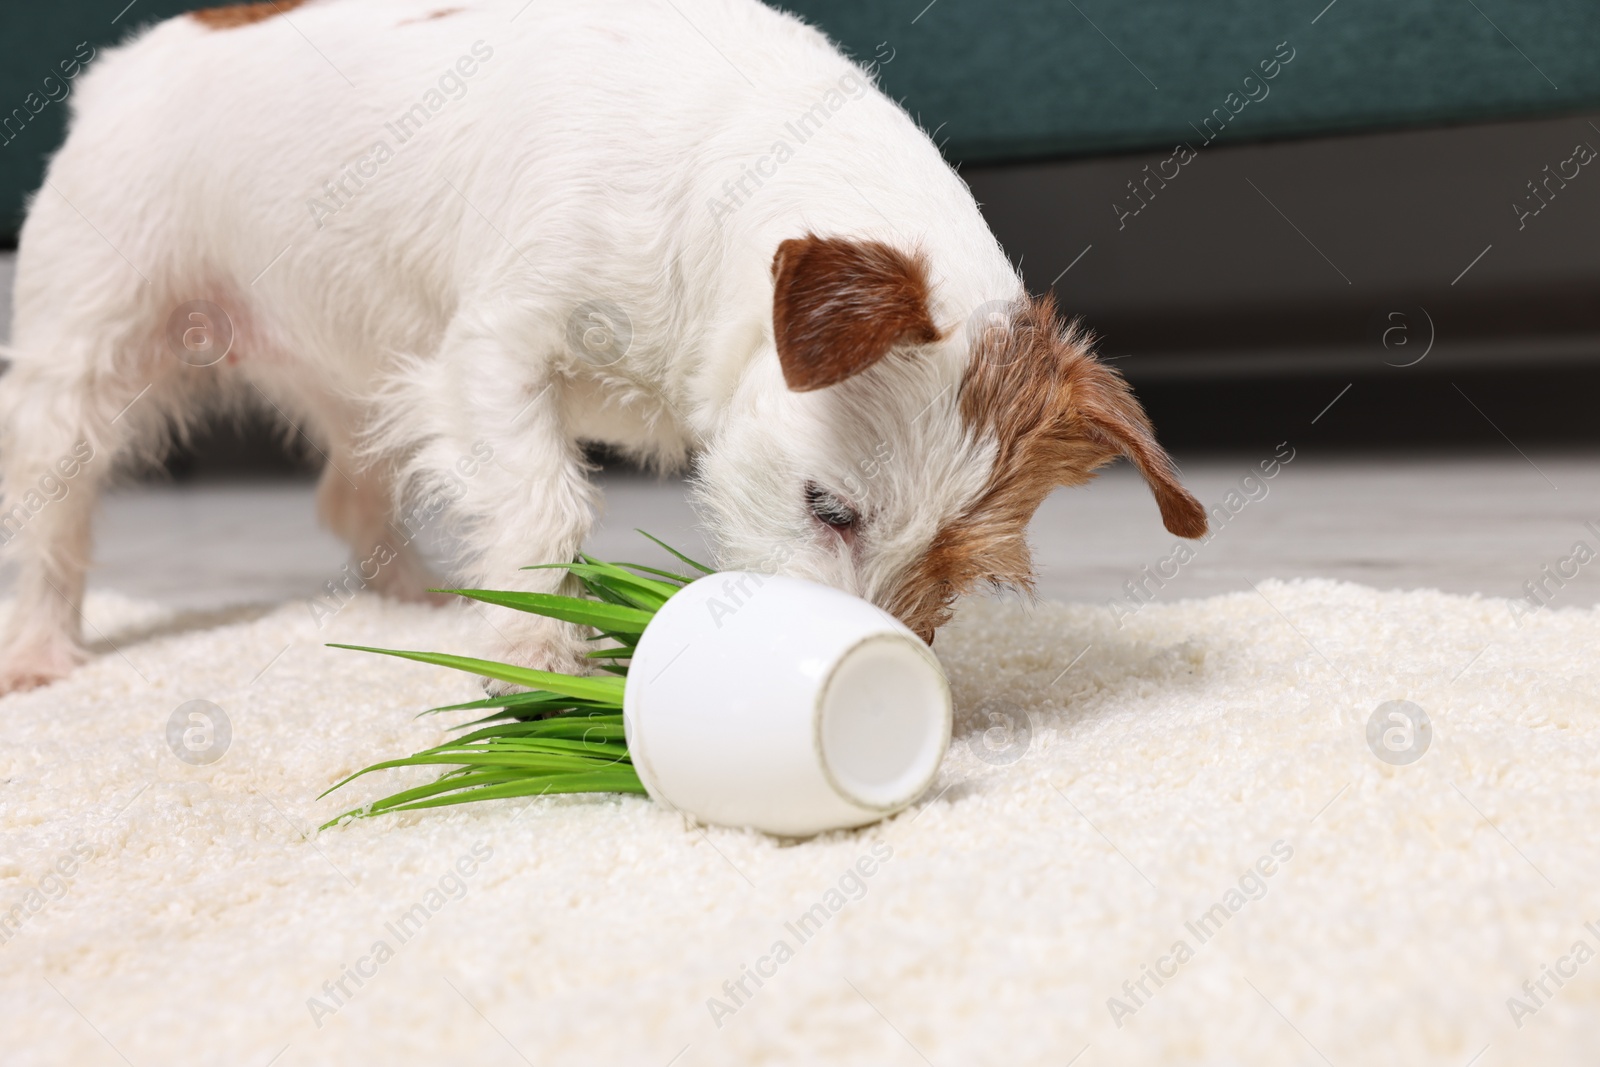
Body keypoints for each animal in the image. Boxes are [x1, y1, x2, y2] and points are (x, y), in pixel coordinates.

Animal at [0, 0, 1203, 694]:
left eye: (964, 574)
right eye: (829, 509)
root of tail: (124, 64)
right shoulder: (492, 354)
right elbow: (545, 505)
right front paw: (536, 655)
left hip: (365, 366)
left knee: (352, 491)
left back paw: (414, 601)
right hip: (84, 353)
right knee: (50, 506)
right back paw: (38, 651)